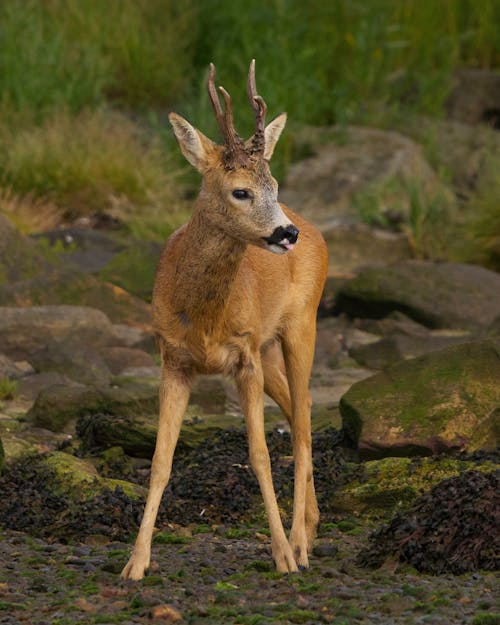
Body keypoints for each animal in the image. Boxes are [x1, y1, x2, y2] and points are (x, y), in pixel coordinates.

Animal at [121, 59, 328, 580]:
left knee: (301, 427)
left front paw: (281, 555)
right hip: (269, 345)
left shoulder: (243, 356)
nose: (285, 233)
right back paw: (311, 527)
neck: (204, 316)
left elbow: (259, 455)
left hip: (303, 323)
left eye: (275, 186)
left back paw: (300, 544)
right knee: (300, 411)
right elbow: (160, 461)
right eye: (241, 191)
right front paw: (136, 562)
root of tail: (313, 227)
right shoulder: (173, 358)